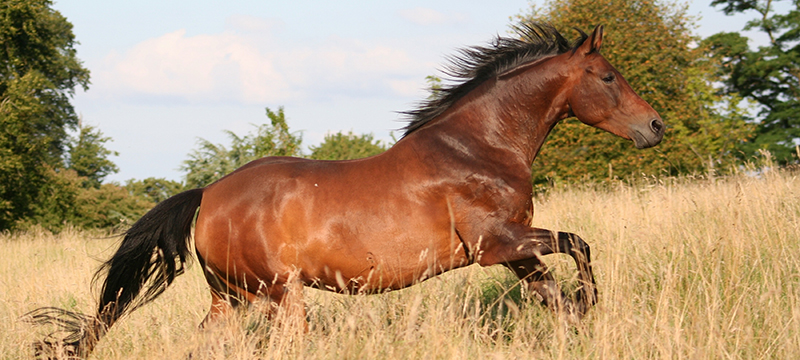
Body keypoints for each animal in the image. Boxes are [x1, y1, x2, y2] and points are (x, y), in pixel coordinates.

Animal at [26, 23, 664, 358]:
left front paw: (579, 320)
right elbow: (579, 244)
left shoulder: (515, 251)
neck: (478, 147)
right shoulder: (497, 245)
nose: (655, 127)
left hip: (230, 298)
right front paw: (589, 304)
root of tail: (206, 197)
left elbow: (554, 290)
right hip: (280, 295)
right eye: (608, 77)